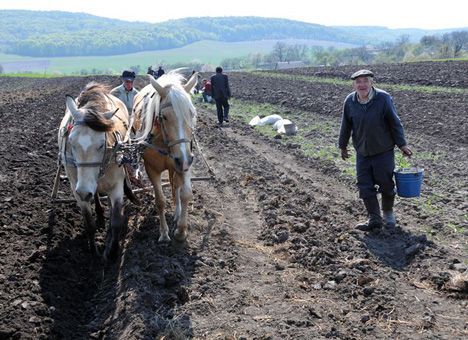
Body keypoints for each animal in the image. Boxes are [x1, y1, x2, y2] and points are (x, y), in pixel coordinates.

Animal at [59, 83, 132, 260]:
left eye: (101, 144)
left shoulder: (117, 184)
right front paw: (93, 251)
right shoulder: (76, 188)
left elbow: (116, 221)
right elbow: (88, 223)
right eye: (71, 141)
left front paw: (112, 252)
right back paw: (99, 214)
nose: (85, 192)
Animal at [132, 71, 197, 242]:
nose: (183, 159)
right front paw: (164, 233)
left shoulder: (185, 163)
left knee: (175, 186)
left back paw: (177, 212)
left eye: (191, 113)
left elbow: (185, 194)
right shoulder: (151, 169)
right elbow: (160, 201)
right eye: (164, 116)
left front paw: (181, 230)